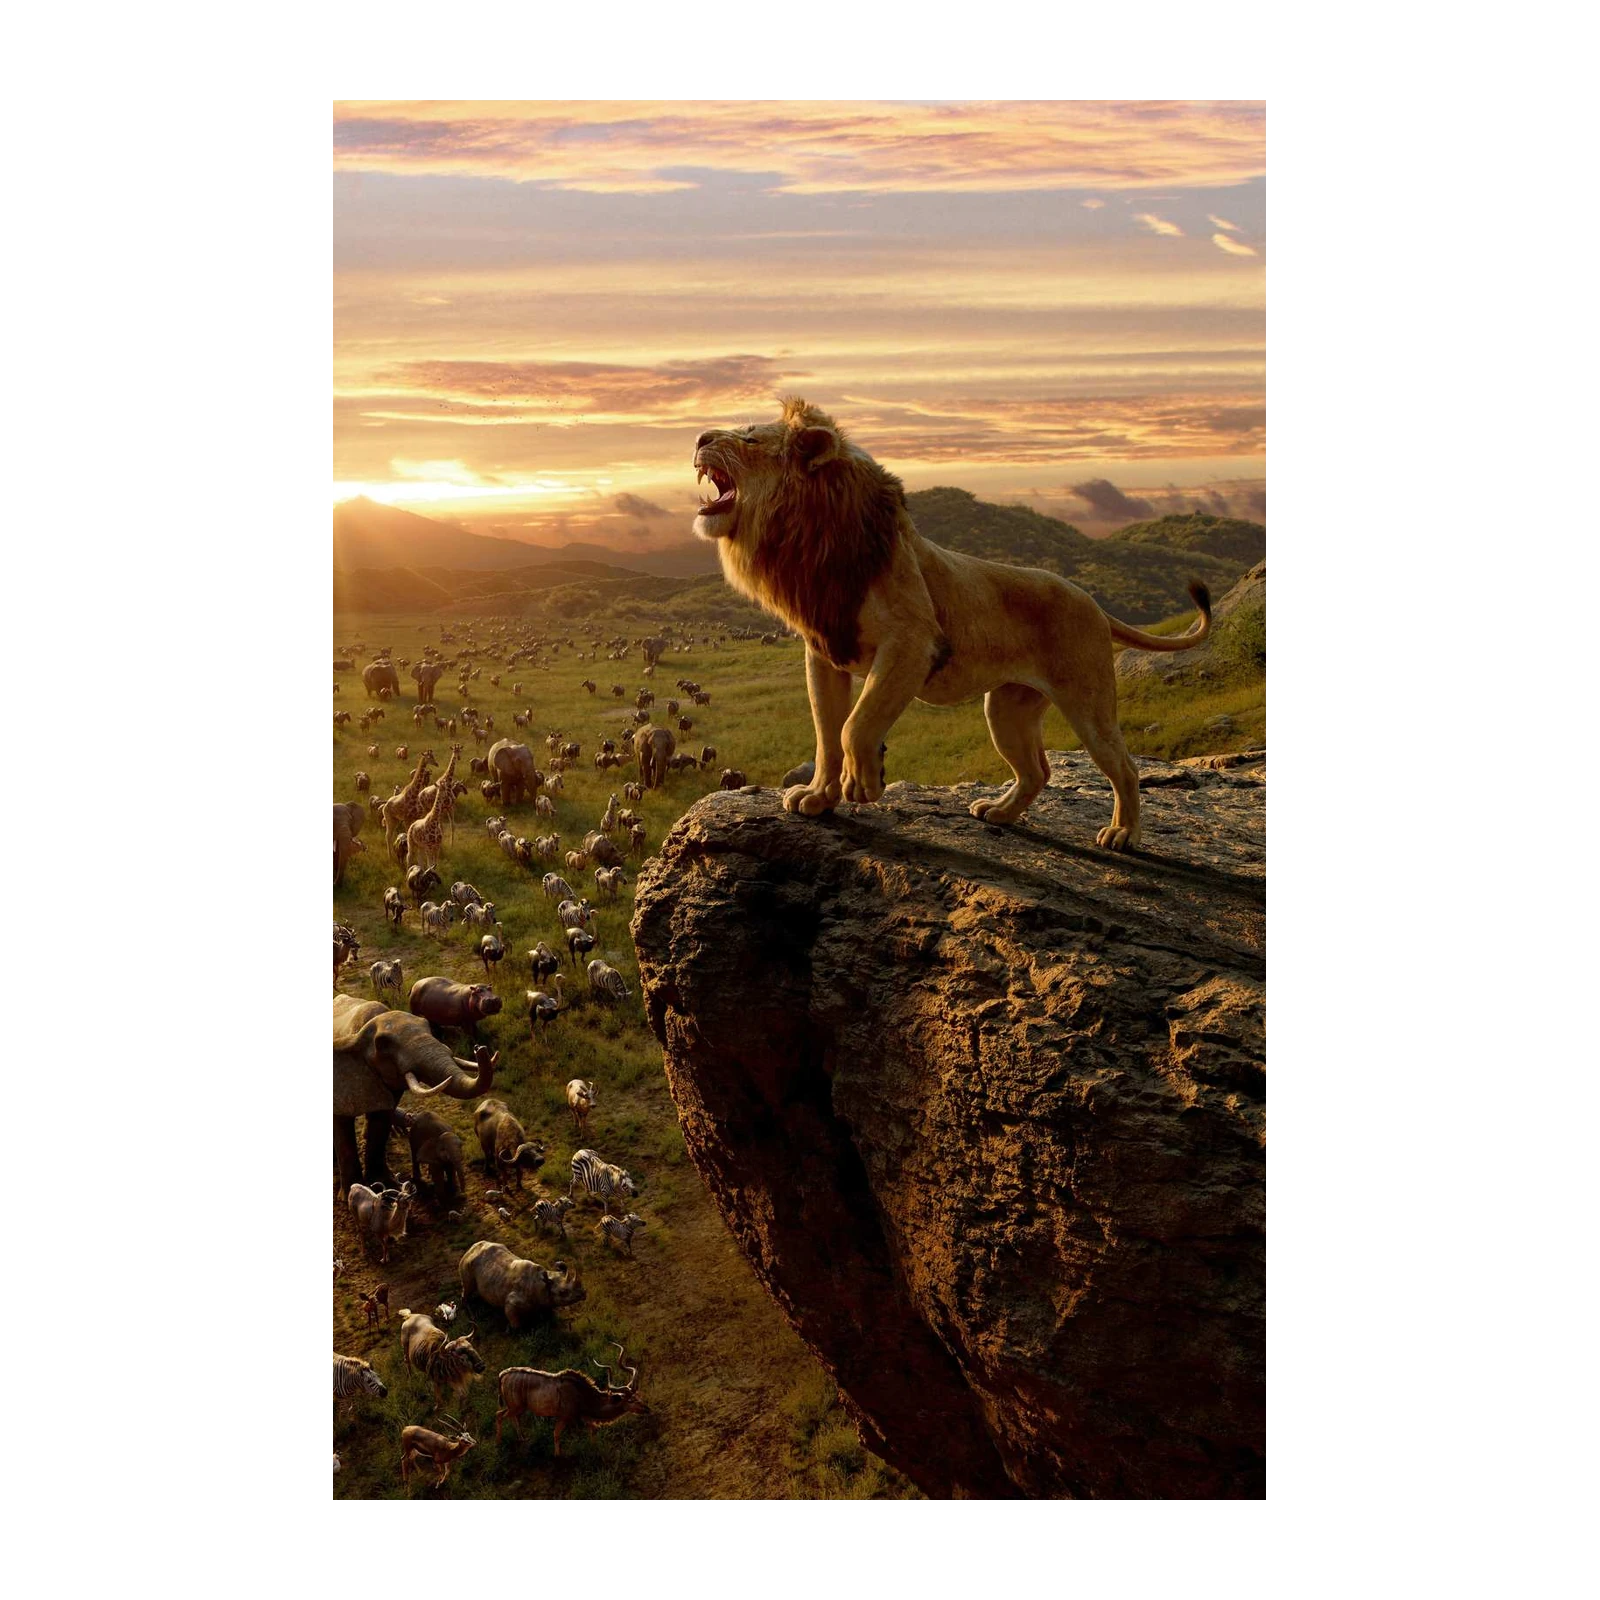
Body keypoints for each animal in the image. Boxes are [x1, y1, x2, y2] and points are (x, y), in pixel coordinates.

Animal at [692, 397, 1212, 852]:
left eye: (750, 438)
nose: (698, 438)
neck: (807, 541)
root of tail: (1093, 602)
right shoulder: (824, 651)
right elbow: (826, 733)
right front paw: (819, 798)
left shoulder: (912, 642)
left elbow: (855, 725)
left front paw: (864, 783)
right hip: (1006, 709)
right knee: (1037, 771)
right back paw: (998, 813)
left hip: (1088, 701)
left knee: (1123, 766)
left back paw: (1123, 834)